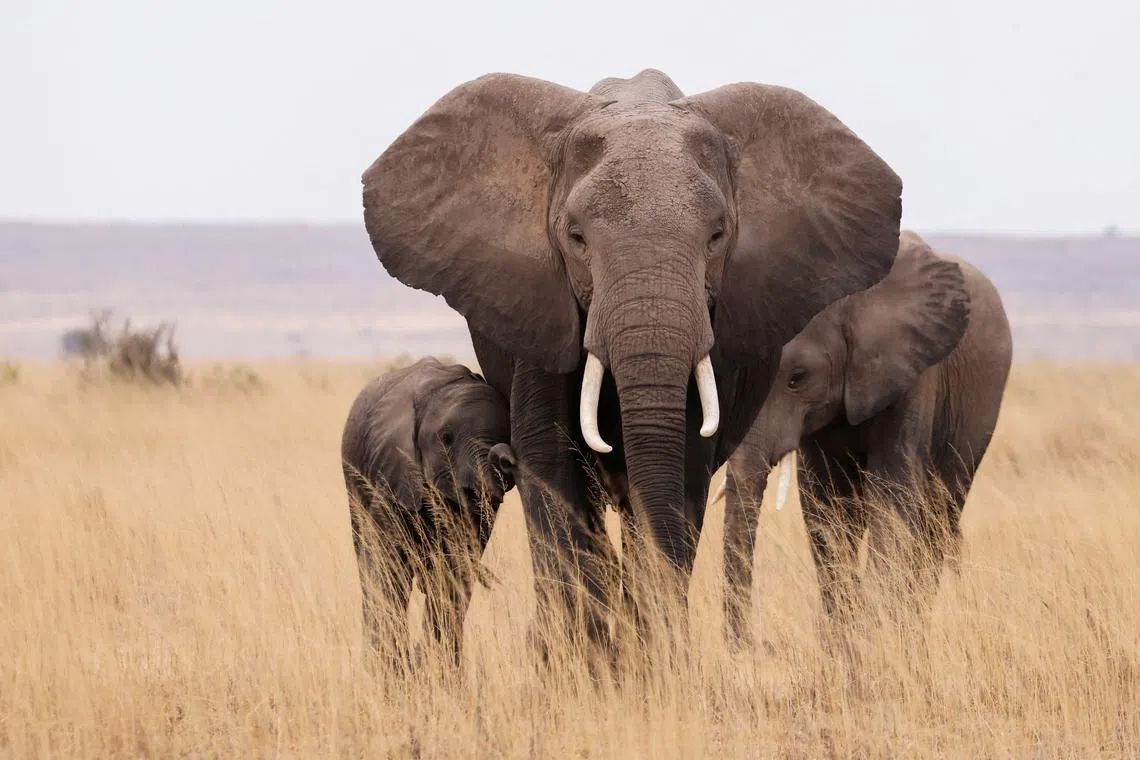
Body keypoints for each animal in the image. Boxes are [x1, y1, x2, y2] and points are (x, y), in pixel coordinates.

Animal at [341, 357, 517, 669]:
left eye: (505, 435)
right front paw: (392, 674)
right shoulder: (393, 469)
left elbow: (452, 578)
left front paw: (431, 670)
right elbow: (390, 570)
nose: (505, 457)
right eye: (446, 438)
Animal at [360, 68, 905, 658]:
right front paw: (584, 660)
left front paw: (654, 656)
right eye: (575, 237)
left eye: (717, 236)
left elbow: (681, 467)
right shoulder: (541, 310)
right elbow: (549, 462)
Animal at [715, 231, 1013, 648]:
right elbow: (826, 507)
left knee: (938, 517)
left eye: (797, 378)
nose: (762, 646)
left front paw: (882, 635)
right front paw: (843, 642)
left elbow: (892, 497)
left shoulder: (912, 372)